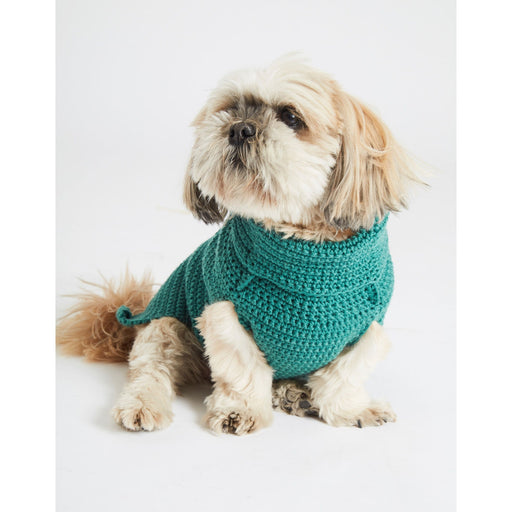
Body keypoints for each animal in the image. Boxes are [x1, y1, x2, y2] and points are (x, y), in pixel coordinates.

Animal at [57, 55, 419, 435]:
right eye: (232, 109)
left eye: (291, 117)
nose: (240, 128)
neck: (306, 252)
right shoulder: (224, 313)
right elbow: (243, 368)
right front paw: (240, 410)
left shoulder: (369, 328)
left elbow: (344, 378)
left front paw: (353, 410)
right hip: (166, 327)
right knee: (151, 371)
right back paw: (143, 404)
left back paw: (294, 394)